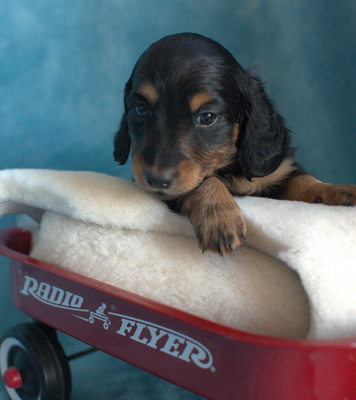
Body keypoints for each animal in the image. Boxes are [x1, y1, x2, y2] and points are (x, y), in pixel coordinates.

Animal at [114, 32, 356, 256]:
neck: (230, 167)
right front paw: (218, 216)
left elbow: (302, 180)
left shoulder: (275, 173)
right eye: (140, 110)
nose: (156, 180)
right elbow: (204, 181)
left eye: (207, 117)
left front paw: (338, 190)